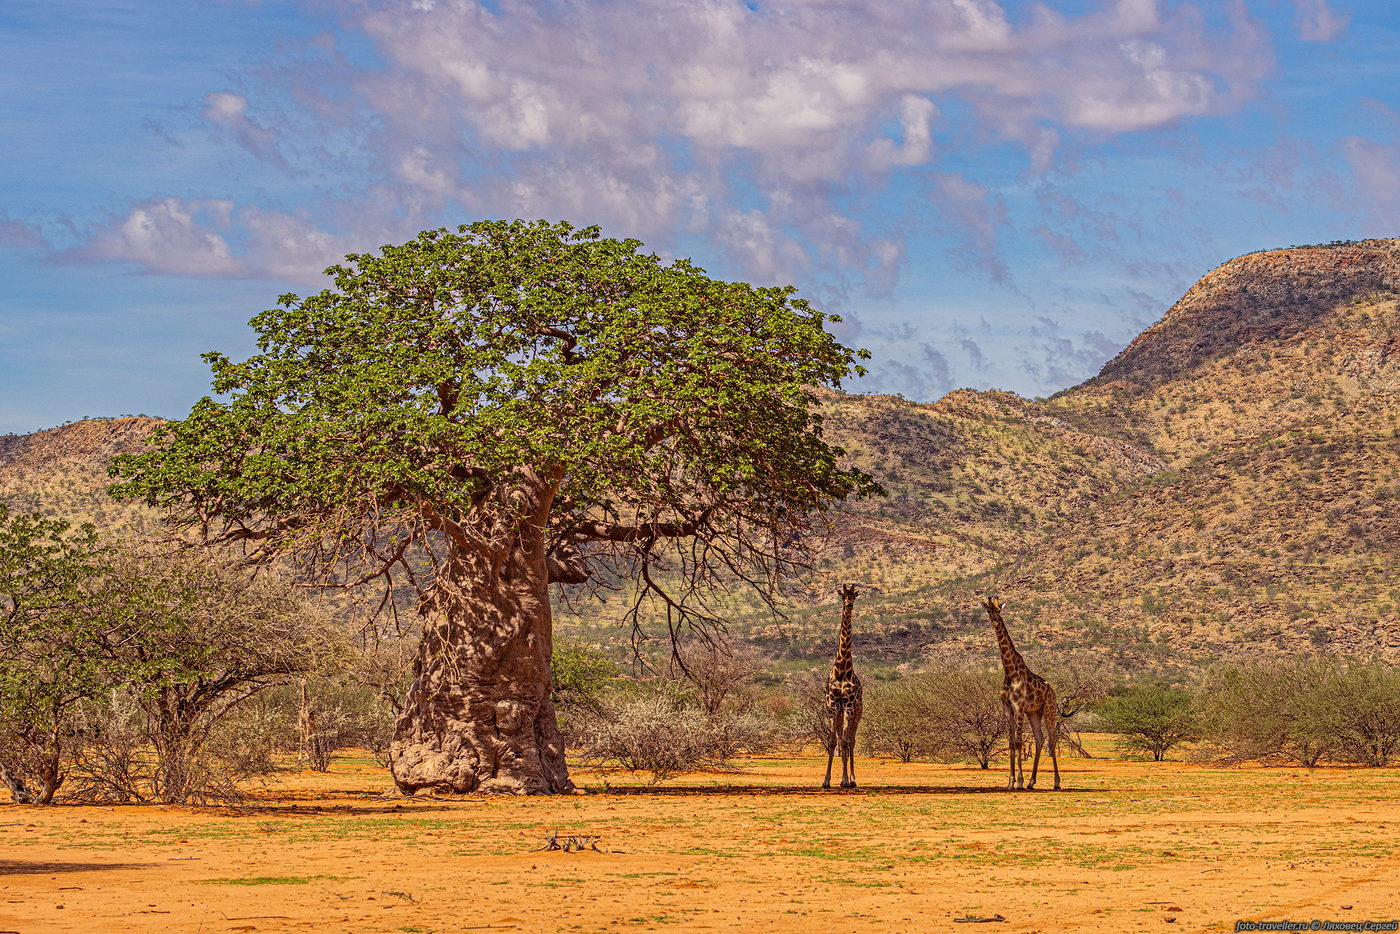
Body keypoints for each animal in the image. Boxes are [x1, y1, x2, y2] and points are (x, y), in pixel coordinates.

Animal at [985, 599, 1058, 789]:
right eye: (988, 610)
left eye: (999, 610)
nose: (994, 620)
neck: (1010, 672)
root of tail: (1053, 691)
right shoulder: (1008, 709)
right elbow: (1011, 743)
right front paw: (1010, 782)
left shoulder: (1018, 708)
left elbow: (1018, 743)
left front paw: (1019, 781)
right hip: (1034, 713)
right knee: (1040, 740)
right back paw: (1032, 782)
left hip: (1049, 710)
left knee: (1051, 740)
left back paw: (1056, 782)